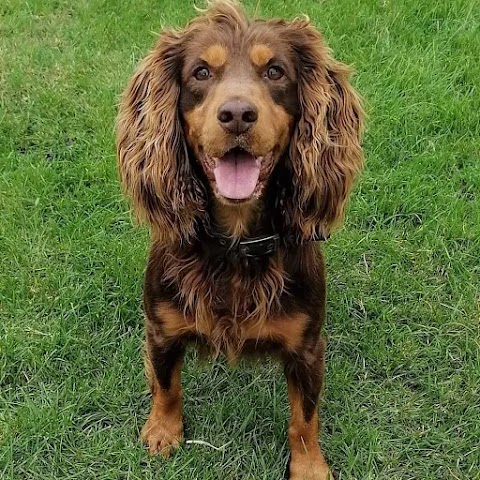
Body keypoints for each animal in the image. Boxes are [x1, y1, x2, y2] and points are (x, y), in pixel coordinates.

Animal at [116, 1, 364, 478]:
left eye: (275, 71)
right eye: (200, 72)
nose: (236, 114)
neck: (233, 243)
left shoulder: (307, 346)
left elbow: (304, 417)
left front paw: (309, 466)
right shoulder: (161, 328)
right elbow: (166, 384)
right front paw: (163, 432)